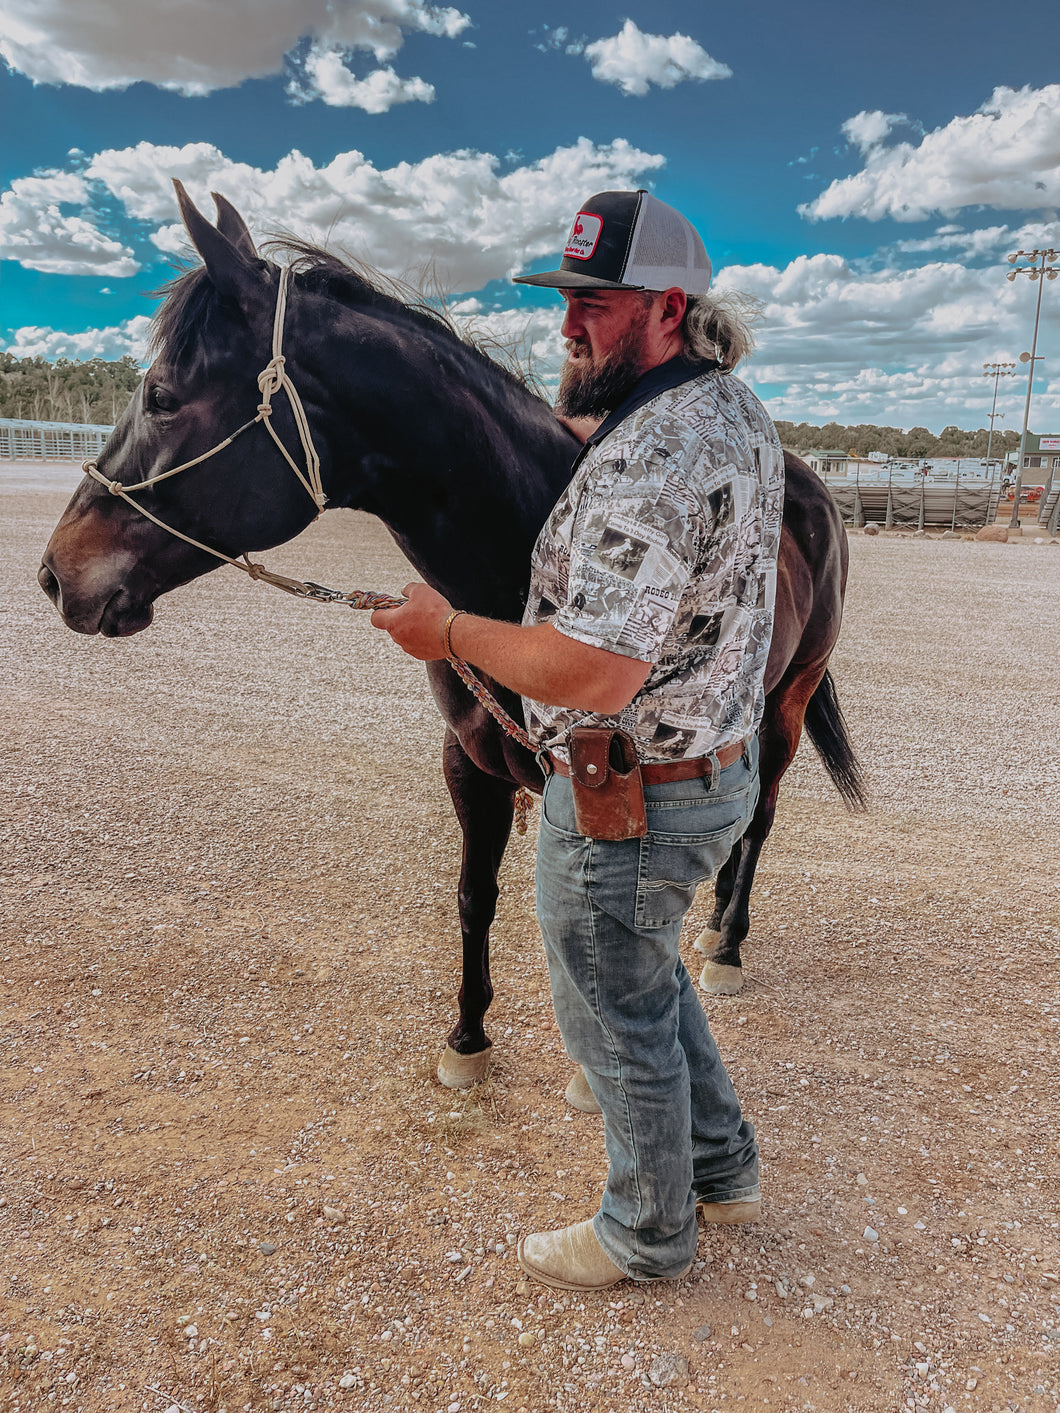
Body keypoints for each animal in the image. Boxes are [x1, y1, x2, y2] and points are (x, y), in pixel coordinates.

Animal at [39, 185, 864, 1090]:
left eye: (160, 396)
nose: (56, 573)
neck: (518, 533)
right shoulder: (469, 763)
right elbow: (477, 898)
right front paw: (467, 1036)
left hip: (786, 704)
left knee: (760, 818)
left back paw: (729, 943)